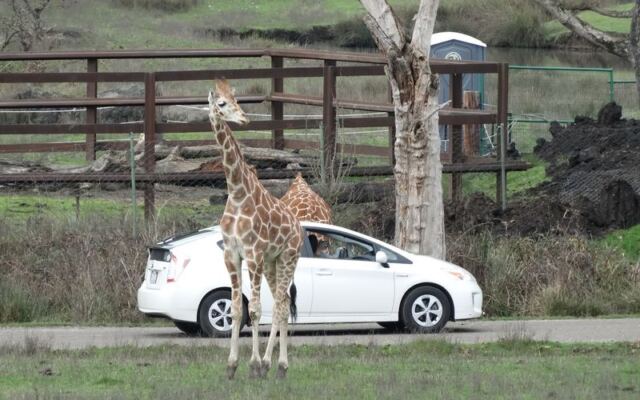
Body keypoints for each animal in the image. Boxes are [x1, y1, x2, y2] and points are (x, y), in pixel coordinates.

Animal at [208, 80, 303, 379]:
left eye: (236, 100)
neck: (237, 193)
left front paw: (253, 364)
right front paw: (232, 366)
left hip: (288, 258)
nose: (244, 119)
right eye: (221, 103)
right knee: (283, 301)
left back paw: (278, 365)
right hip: (273, 263)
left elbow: (257, 311)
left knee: (282, 306)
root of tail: (299, 228)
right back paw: (273, 364)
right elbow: (238, 310)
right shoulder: (231, 254)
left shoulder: (254, 253)